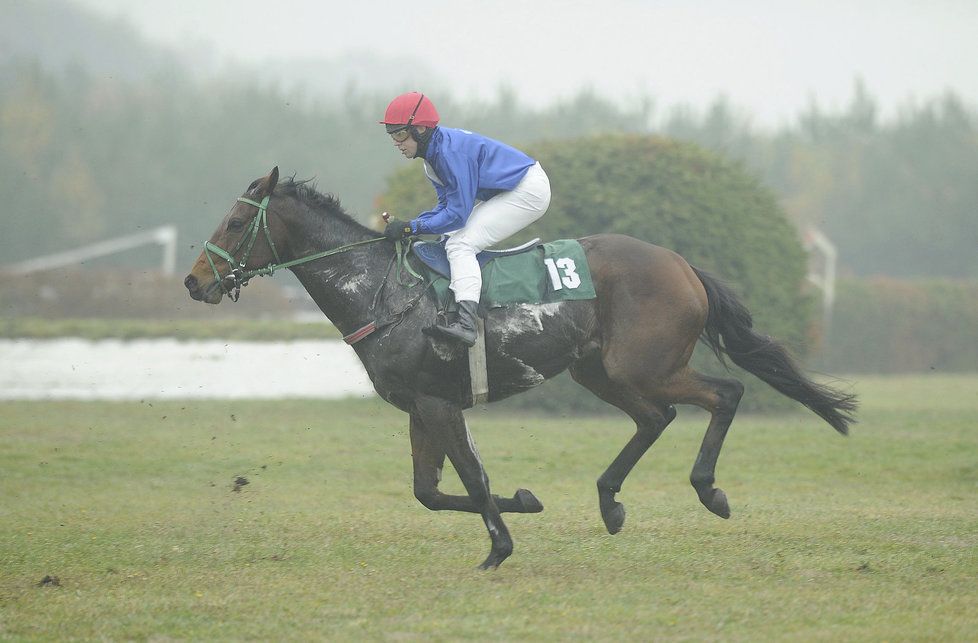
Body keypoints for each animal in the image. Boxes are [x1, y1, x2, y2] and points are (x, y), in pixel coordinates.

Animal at [183, 166, 856, 568]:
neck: (383, 289)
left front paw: (499, 549)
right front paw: (525, 502)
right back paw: (610, 502)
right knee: (656, 417)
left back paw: (708, 490)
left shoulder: (438, 402)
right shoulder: (421, 406)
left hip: (642, 365)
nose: (193, 282)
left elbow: (470, 481)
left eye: (236, 222)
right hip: (598, 371)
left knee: (724, 393)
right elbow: (431, 492)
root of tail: (681, 263)